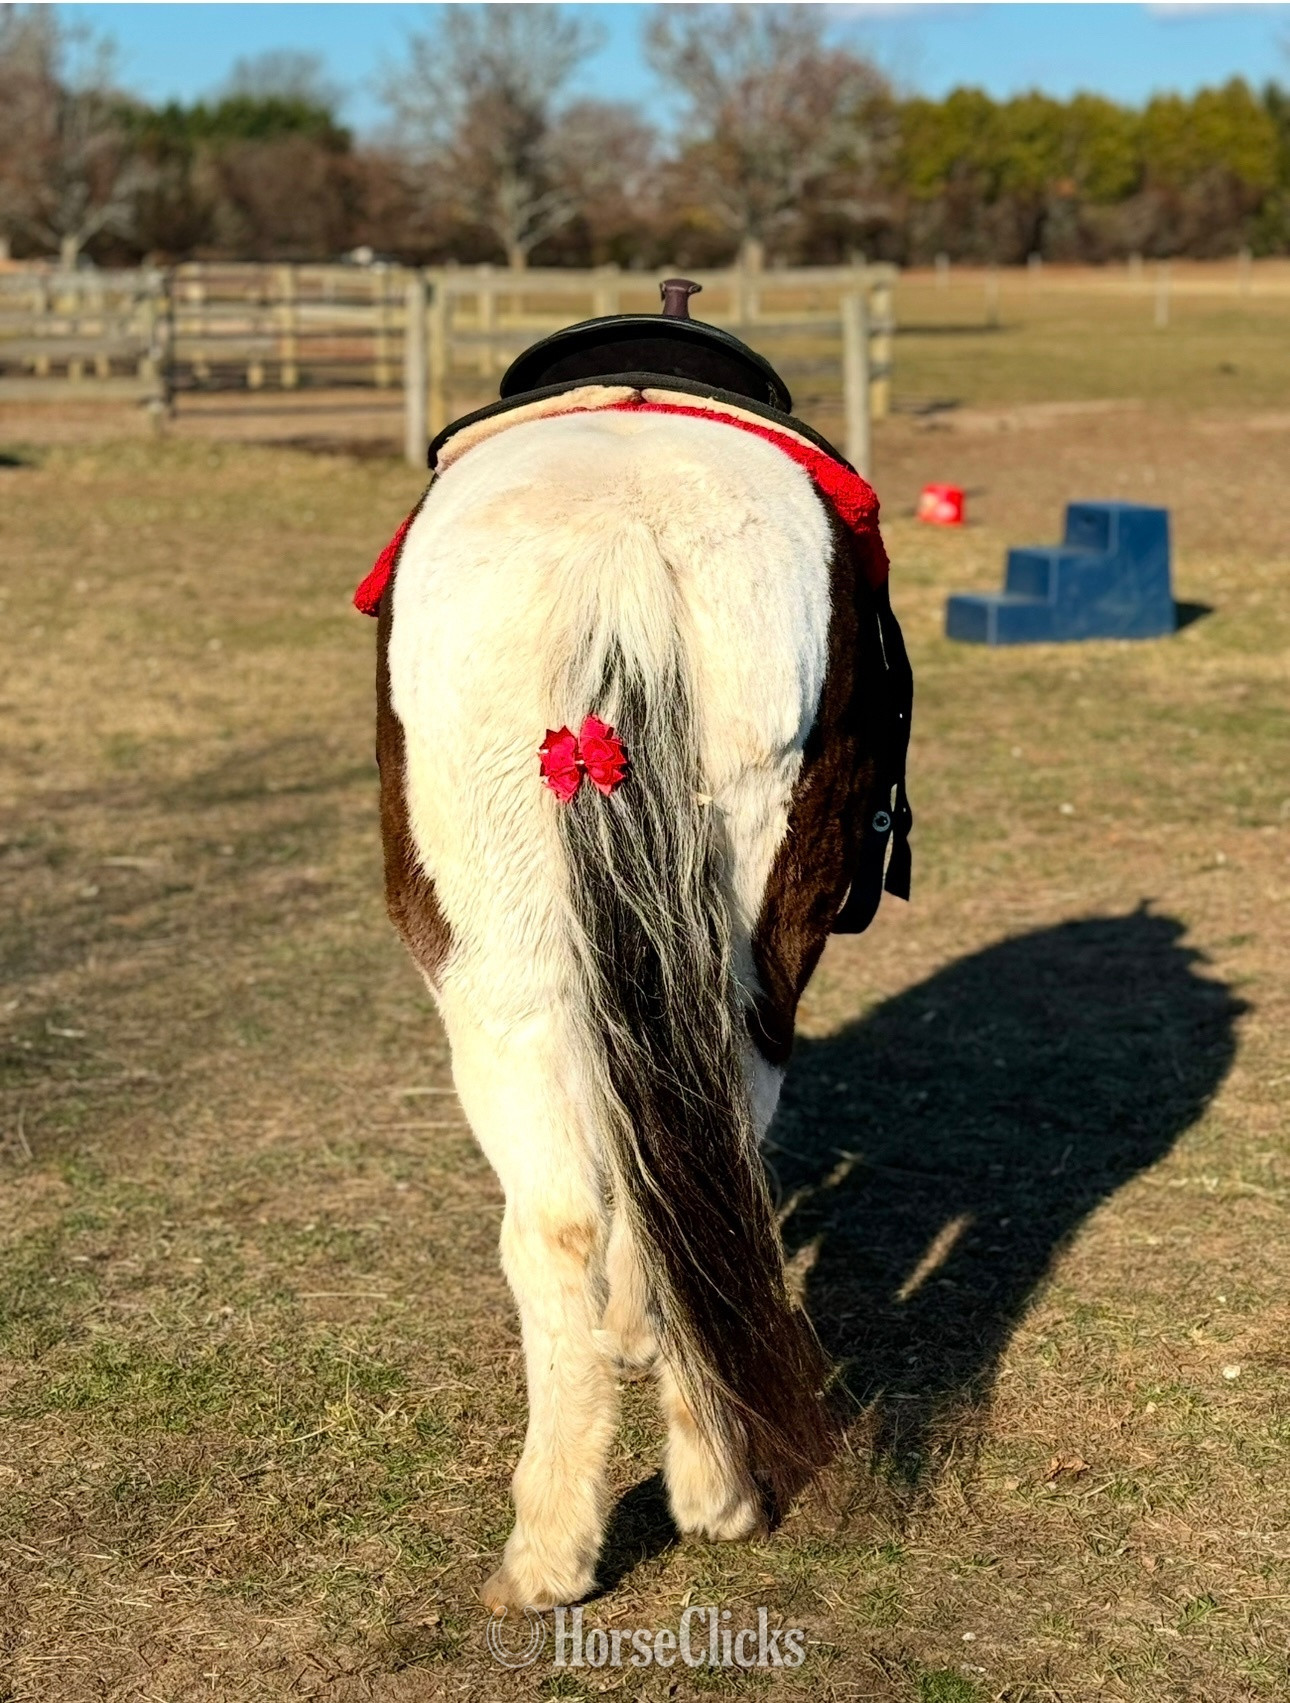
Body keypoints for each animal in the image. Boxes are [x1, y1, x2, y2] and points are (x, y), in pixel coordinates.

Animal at [357, 281, 912, 1611]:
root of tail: (617, 543)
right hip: (704, 961)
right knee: (666, 1189)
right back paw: (667, 1502)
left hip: (501, 967)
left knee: (566, 1216)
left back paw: (590, 1533)